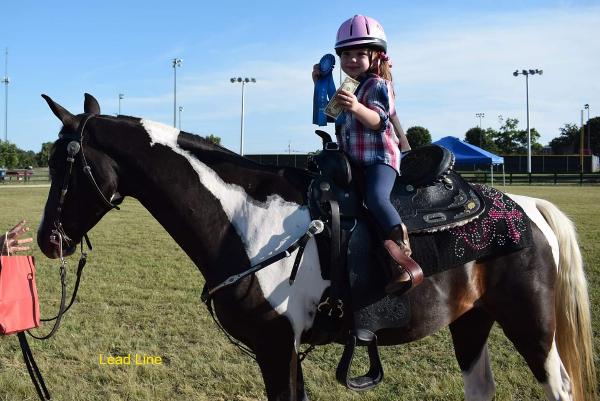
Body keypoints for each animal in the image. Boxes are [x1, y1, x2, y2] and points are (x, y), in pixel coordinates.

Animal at [36, 93, 595, 401]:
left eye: (65, 161)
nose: (46, 239)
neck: (242, 220)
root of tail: (527, 205)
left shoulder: (275, 347)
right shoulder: (282, 352)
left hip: (531, 322)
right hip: (472, 319)